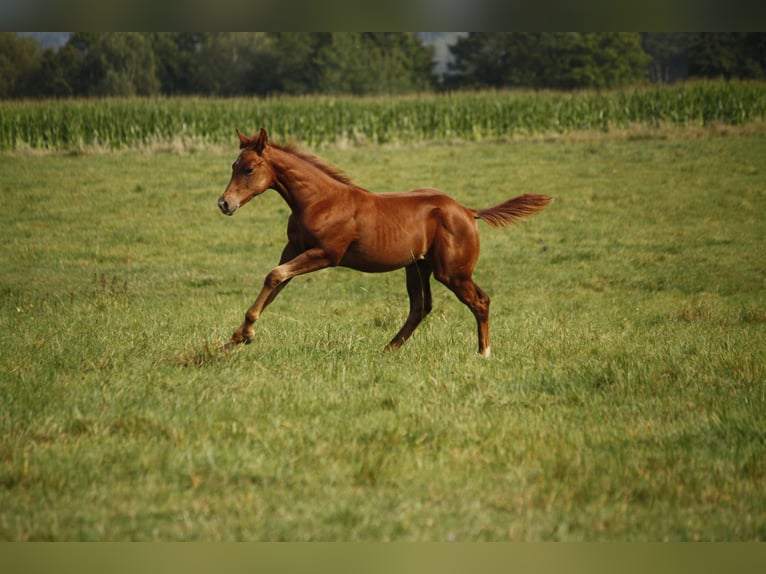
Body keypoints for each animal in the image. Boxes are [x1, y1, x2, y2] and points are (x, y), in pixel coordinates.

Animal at [218, 128, 552, 358]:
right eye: (233, 165)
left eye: (249, 169)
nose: (224, 203)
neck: (318, 201)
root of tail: (468, 211)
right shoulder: (294, 250)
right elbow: (275, 281)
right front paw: (237, 337)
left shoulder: (326, 254)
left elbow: (274, 276)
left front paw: (244, 334)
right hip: (417, 267)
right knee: (421, 306)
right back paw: (388, 349)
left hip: (452, 272)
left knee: (480, 301)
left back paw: (483, 352)